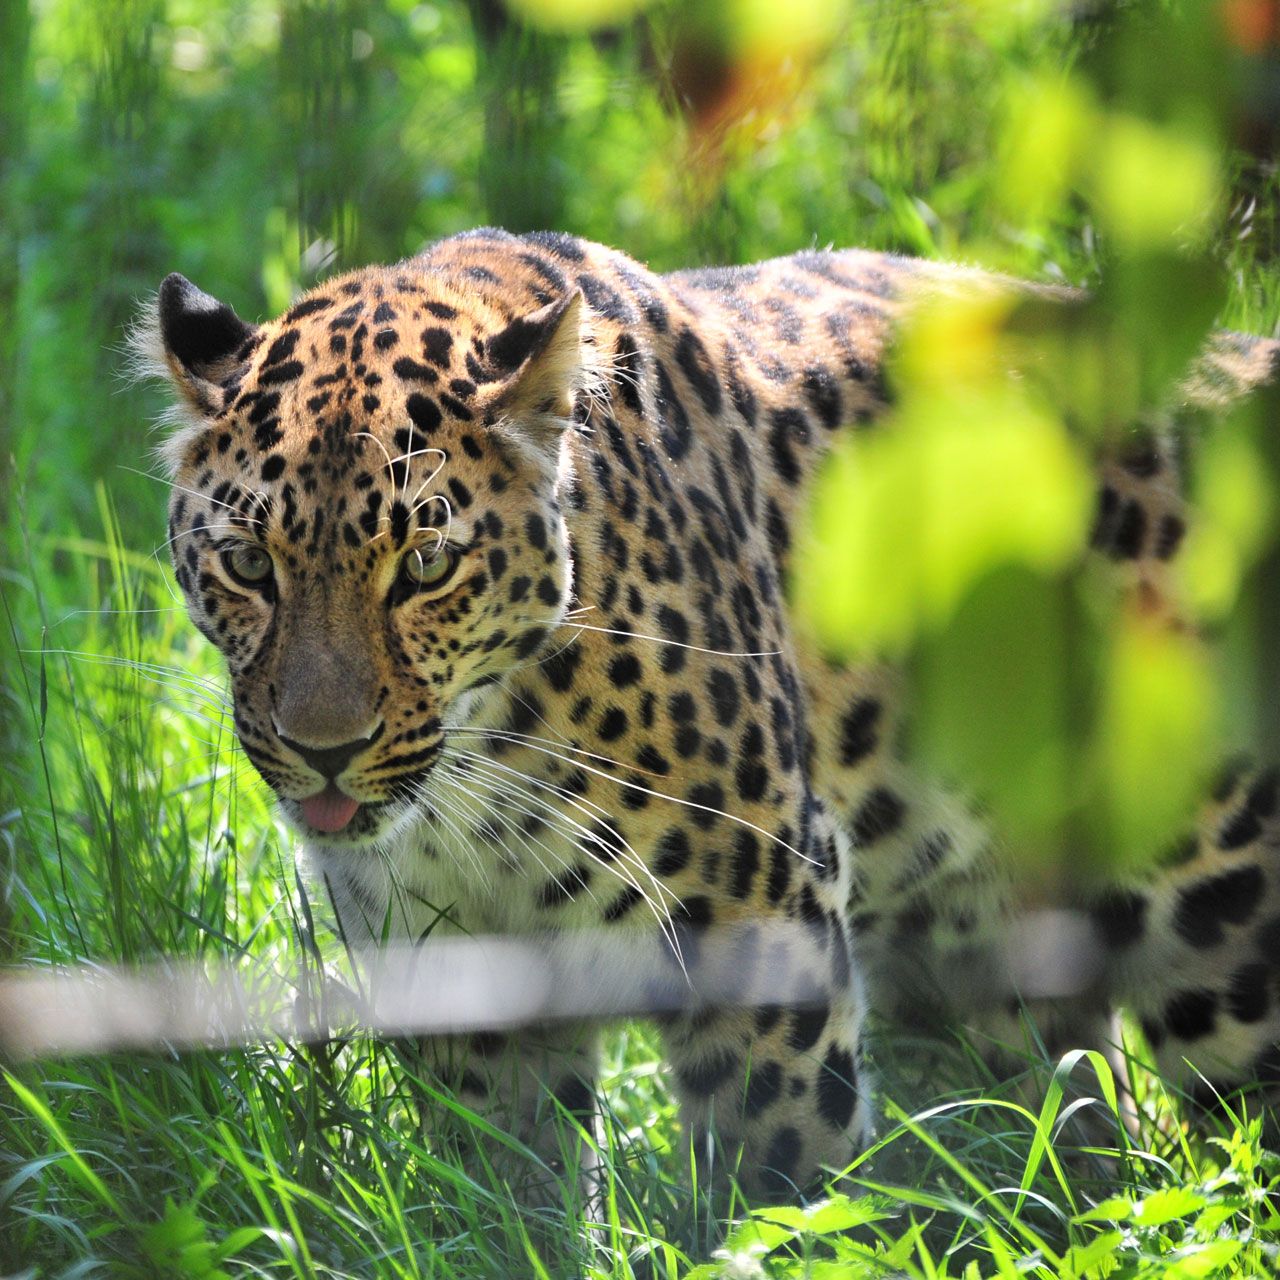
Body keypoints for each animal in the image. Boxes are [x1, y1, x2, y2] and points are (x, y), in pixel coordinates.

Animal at [136, 227, 1280, 1202]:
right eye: (248, 564)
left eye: (424, 564)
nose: (324, 752)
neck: (485, 776)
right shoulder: (453, 966)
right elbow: (508, 1186)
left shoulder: (761, 910)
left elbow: (775, 1165)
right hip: (979, 947)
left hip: (1222, 918)